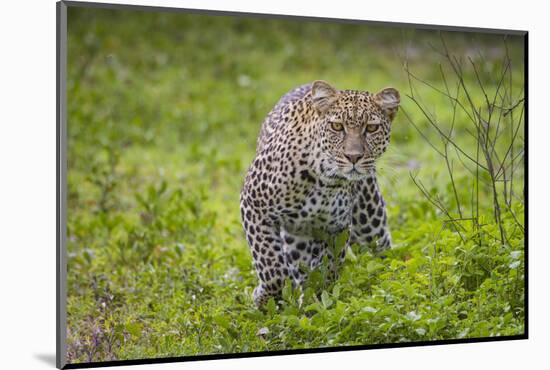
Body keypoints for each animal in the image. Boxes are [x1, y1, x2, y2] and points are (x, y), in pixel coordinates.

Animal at [242, 80, 402, 306]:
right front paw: (264, 299)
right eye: (337, 126)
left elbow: (328, 269)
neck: (325, 180)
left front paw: (316, 302)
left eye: (371, 128)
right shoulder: (254, 206)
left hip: (370, 224)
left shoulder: (336, 228)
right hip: (296, 236)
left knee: (381, 249)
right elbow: (271, 267)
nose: (353, 157)